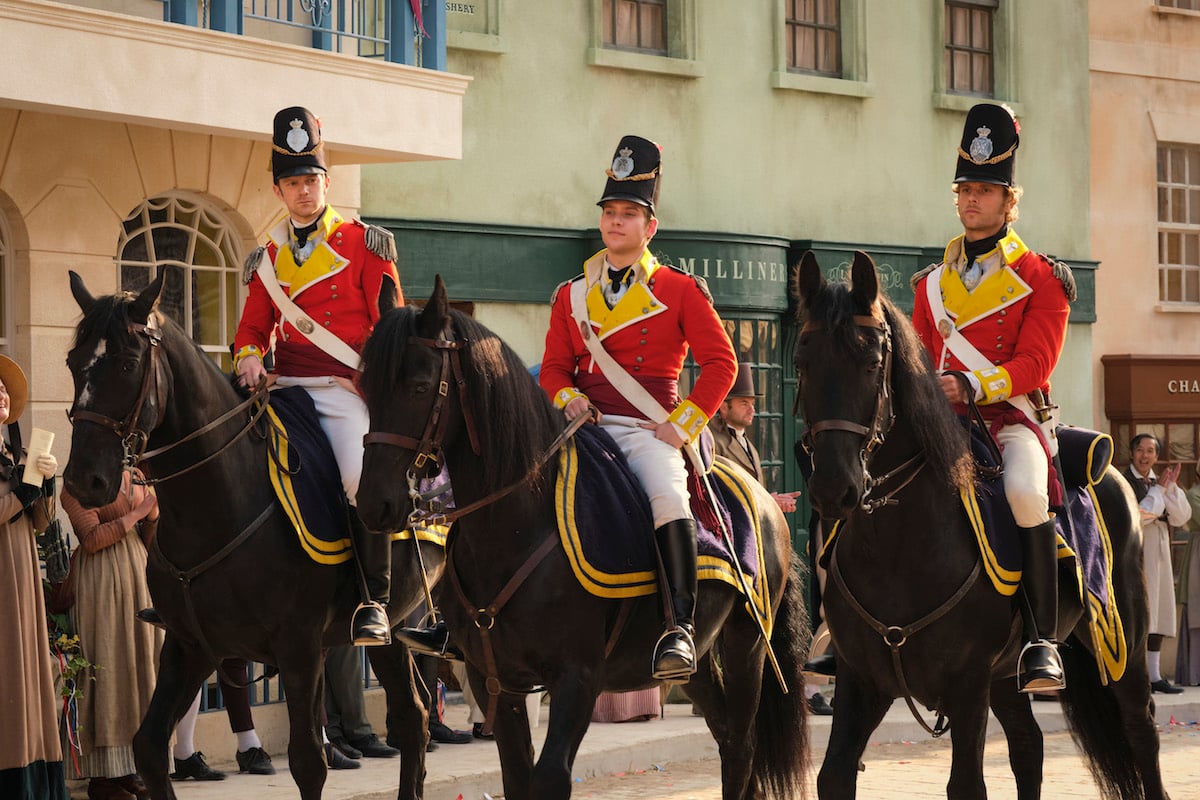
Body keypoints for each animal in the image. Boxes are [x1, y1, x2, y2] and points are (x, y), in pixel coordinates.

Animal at [63, 271, 446, 800]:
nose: (84, 480)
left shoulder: (298, 647)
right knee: (414, 717)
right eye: (72, 363)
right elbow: (149, 746)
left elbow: (308, 762)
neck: (215, 505)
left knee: (412, 717)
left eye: (127, 362)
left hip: (391, 626)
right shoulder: (190, 645)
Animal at [350, 277, 811, 800]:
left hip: (746, 646)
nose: (373, 504)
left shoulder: (577, 679)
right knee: (727, 734)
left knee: (741, 744)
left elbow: (550, 777)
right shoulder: (497, 679)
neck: (514, 527)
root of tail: (765, 496)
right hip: (696, 663)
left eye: (420, 387)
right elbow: (517, 777)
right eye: (365, 388)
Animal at [792, 251, 1166, 800]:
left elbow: (966, 783)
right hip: (1007, 677)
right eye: (802, 362)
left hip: (1123, 645)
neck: (897, 548)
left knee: (1141, 732)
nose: (834, 488)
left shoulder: (966, 684)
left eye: (872, 362)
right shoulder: (862, 681)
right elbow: (834, 773)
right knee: (1029, 745)